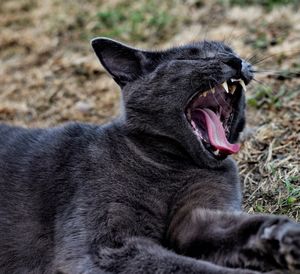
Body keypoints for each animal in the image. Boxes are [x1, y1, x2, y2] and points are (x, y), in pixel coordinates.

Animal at [0, 37, 298, 274]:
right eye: (191, 57)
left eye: (230, 49)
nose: (235, 59)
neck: (174, 164)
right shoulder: (108, 246)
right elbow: (186, 267)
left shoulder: (197, 216)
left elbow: (239, 227)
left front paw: (287, 236)